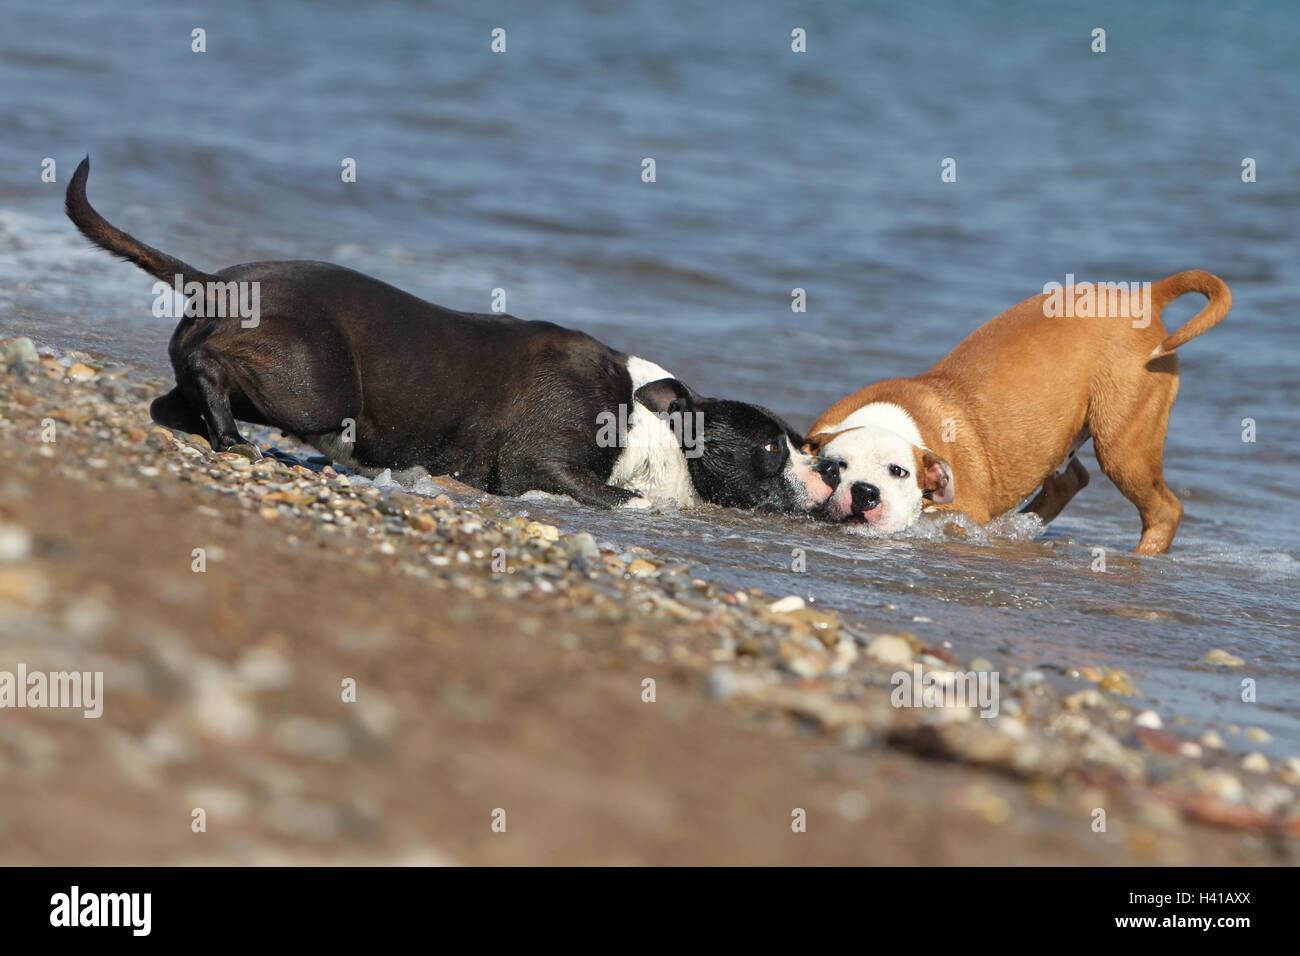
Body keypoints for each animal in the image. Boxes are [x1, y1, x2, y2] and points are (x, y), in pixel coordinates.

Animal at [68, 159, 842, 512]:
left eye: (802, 443)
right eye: (771, 448)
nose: (831, 471)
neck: (653, 418)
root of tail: (215, 280)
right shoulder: (541, 464)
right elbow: (627, 497)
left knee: (174, 396)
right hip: (318, 385)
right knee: (213, 365)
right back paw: (231, 433)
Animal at [806, 270, 1232, 554]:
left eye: (899, 472)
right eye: (835, 467)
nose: (864, 492)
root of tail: (1143, 296)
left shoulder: (961, 514)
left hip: (1124, 447)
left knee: (1164, 510)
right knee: (1069, 479)